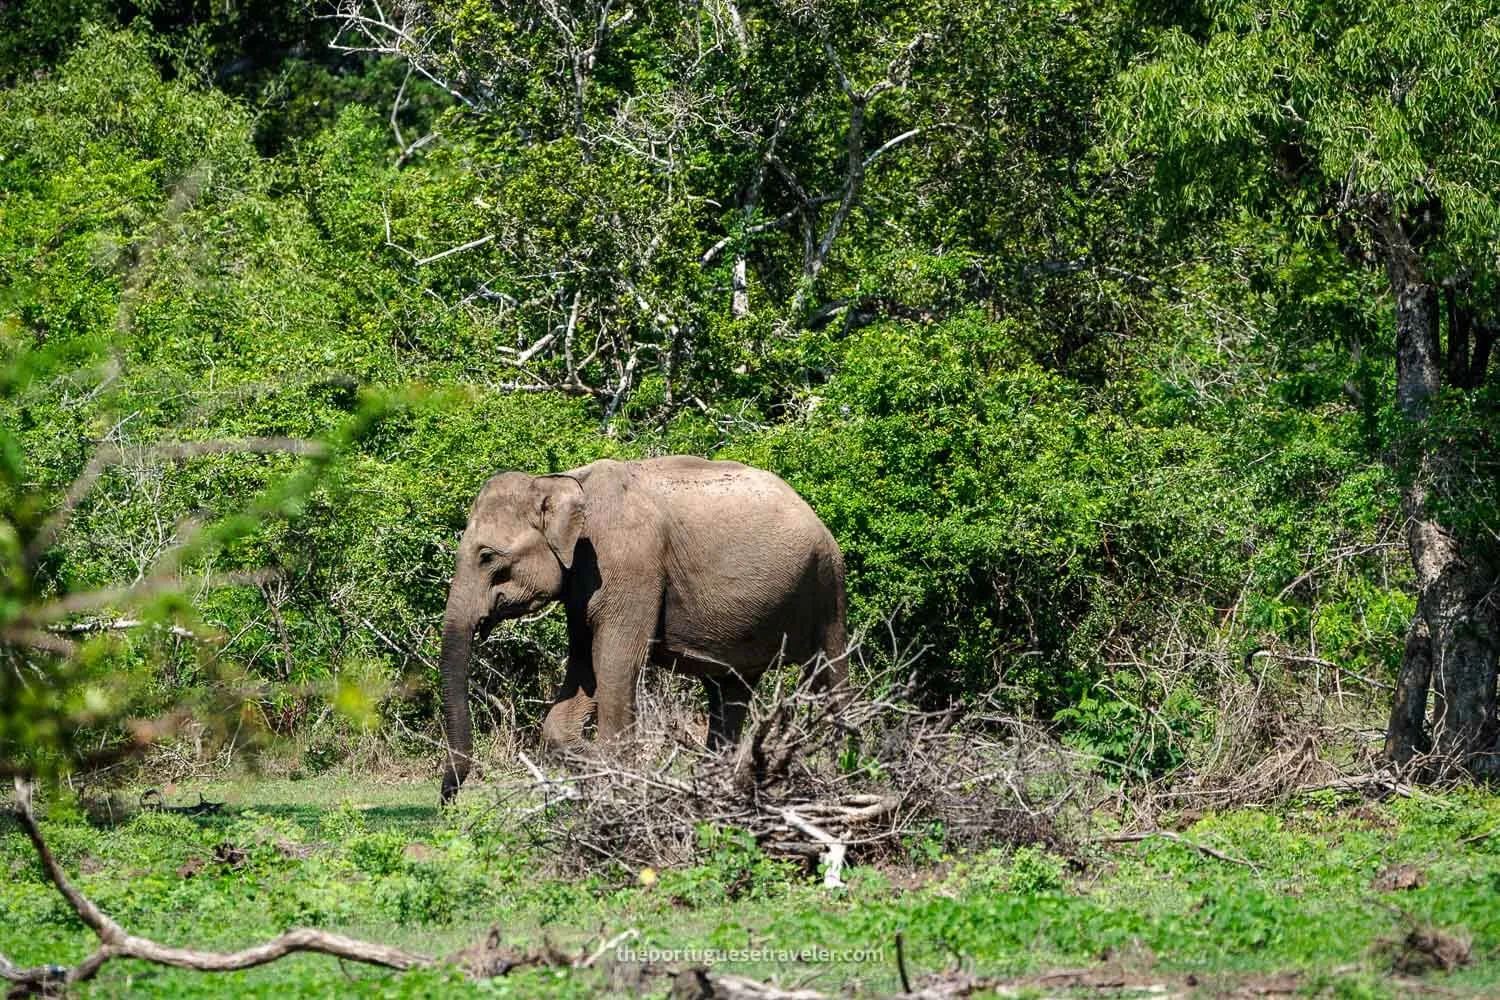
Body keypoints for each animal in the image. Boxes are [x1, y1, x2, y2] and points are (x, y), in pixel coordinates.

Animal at [437, 456, 848, 803]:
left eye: (486, 556)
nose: (447, 803)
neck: (562, 482)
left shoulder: (629, 567)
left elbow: (614, 666)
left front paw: (621, 775)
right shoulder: (583, 583)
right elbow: (584, 670)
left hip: (826, 585)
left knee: (831, 677)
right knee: (729, 690)